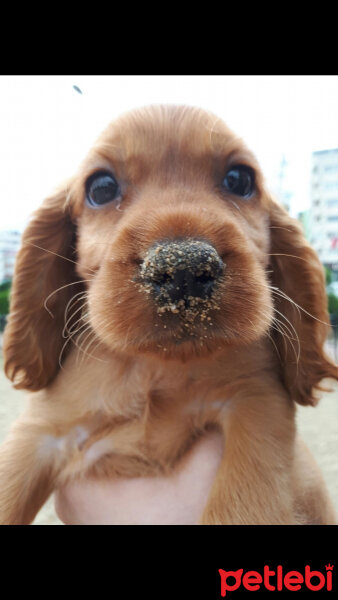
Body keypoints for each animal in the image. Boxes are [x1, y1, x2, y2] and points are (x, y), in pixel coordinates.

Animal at [1, 105, 336, 524]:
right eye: (101, 188)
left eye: (239, 179)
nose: (184, 268)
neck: (154, 368)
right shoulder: (41, 433)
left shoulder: (257, 402)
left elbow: (243, 499)